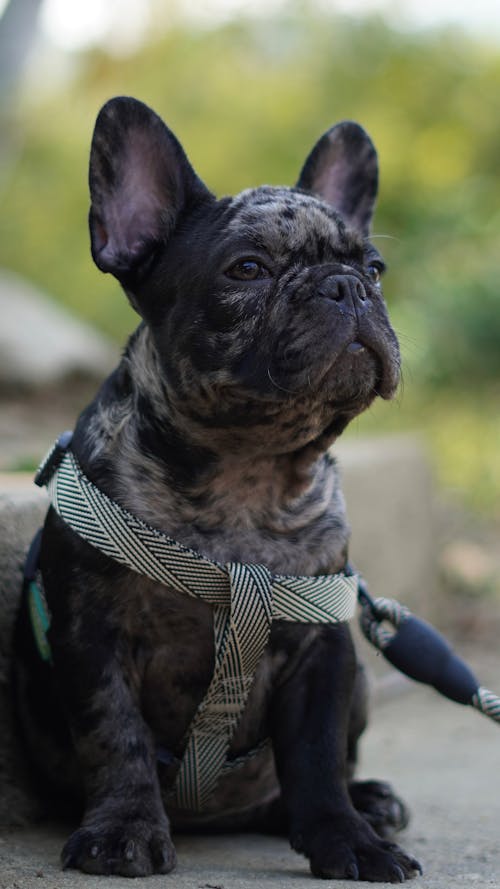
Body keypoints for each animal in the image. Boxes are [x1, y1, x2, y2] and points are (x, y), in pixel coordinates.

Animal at [12, 97, 422, 880]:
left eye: (375, 267)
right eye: (248, 268)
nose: (346, 287)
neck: (248, 479)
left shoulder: (326, 654)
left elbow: (318, 757)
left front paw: (348, 838)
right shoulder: (92, 636)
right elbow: (116, 735)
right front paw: (123, 829)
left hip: (359, 678)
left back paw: (369, 802)